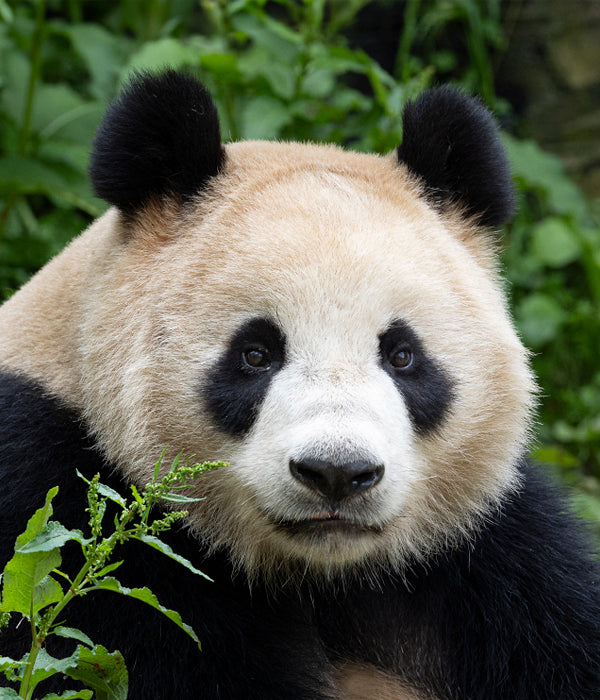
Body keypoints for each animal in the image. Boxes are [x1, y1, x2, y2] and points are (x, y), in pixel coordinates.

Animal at [1, 72, 600, 700]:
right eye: (256, 354)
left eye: (402, 356)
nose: (337, 473)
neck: (325, 577)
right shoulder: (57, 497)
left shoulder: (494, 558)